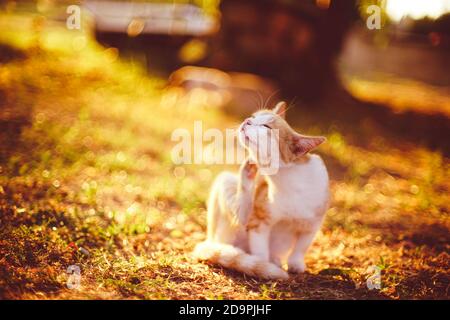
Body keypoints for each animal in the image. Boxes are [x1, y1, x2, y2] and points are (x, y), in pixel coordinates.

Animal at [192, 101, 328, 278]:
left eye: (266, 126)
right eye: (254, 116)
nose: (247, 120)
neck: (289, 181)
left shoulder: (313, 224)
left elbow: (301, 248)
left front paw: (296, 264)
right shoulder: (259, 222)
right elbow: (260, 251)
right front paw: (263, 265)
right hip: (227, 186)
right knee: (240, 217)